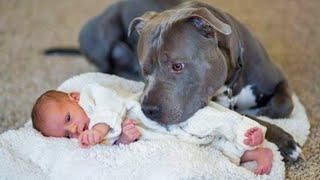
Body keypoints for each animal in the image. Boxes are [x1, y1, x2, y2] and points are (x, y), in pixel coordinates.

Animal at [48, 0, 302, 162]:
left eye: (177, 66)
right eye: (145, 70)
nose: (148, 110)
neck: (233, 80)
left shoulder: (279, 80)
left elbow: (284, 105)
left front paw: (268, 116)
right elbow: (246, 117)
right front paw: (284, 140)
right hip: (98, 33)